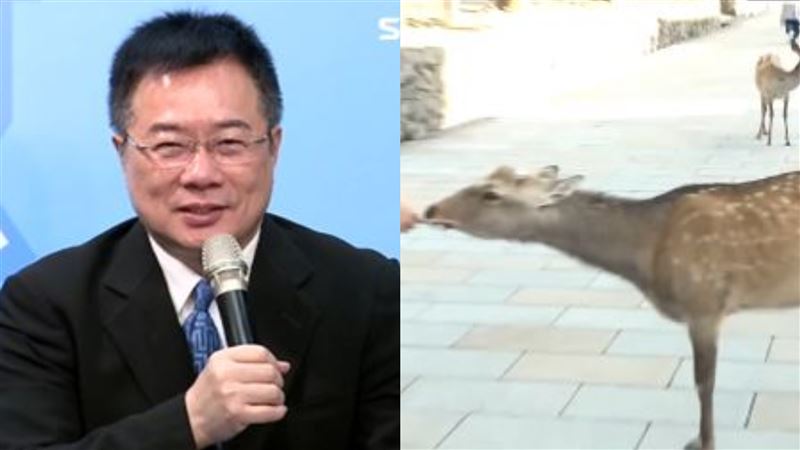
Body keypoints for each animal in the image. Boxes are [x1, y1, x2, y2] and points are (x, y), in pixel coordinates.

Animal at [424, 165, 800, 450]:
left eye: (491, 194)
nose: (431, 210)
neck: (646, 255)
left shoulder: (704, 303)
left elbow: (703, 382)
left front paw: (703, 442)